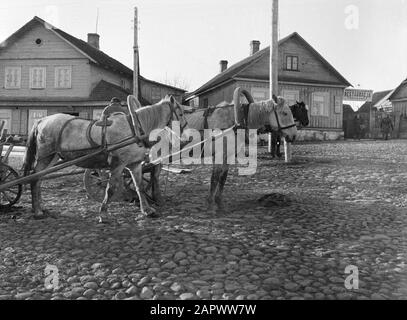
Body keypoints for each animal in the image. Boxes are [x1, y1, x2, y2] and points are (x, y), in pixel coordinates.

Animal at [22, 94, 186, 221]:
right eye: (181, 113)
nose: (185, 137)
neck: (135, 129)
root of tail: (41, 121)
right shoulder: (118, 165)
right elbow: (110, 188)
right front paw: (103, 214)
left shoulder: (135, 164)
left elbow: (139, 186)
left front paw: (147, 210)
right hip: (45, 157)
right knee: (35, 178)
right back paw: (37, 211)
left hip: (53, 157)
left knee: (39, 179)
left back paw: (40, 207)